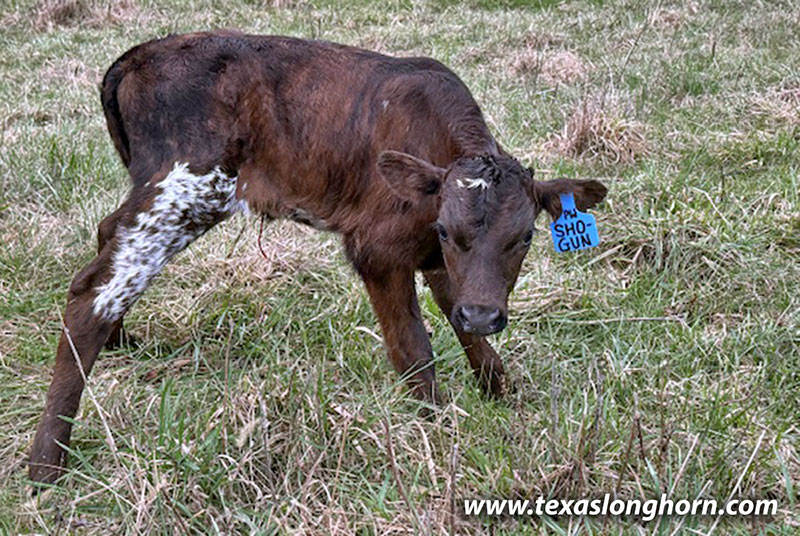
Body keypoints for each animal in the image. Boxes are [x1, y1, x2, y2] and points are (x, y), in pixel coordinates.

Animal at [29, 30, 607, 486]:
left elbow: (466, 331)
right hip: (187, 186)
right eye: (446, 228)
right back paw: (46, 465)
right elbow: (414, 349)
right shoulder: (376, 247)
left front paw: (500, 395)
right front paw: (434, 430)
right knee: (93, 290)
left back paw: (119, 341)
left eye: (526, 237)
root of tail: (140, 54)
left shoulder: (439, 264)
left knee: (110, 239)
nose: (486, 314)